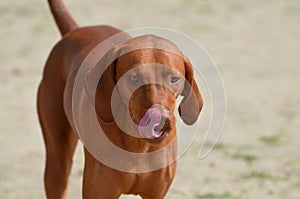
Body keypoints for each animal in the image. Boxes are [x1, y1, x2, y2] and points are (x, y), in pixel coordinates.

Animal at [37, 0, 202, 198]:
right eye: (133, 77)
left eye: (175, 79)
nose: (160, 120)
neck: (138, 146)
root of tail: (74, 30)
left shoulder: (156, 193)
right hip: (57, 164)